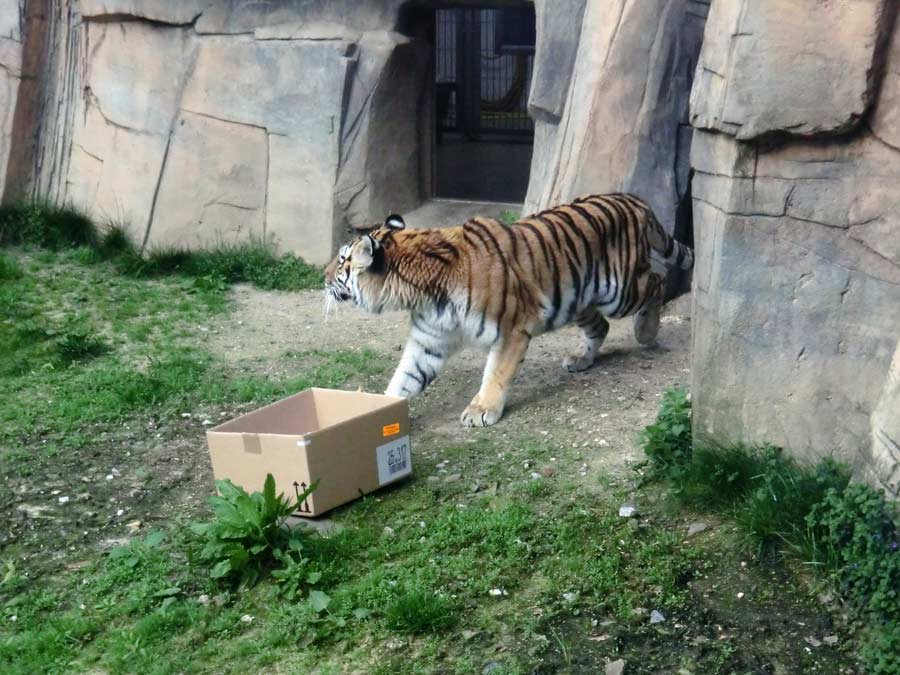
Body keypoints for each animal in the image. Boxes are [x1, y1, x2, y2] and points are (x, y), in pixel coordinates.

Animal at [326, 194, 696, 428]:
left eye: (343, 261)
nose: (324, 276)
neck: (423, 294)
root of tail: (632, 199)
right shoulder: (429, 341)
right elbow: (404, 379)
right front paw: (377, 412)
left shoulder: (511, 329)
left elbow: (496, 374)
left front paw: (481, 411)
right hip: (577, 296)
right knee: (600, 326)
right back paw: (580, 359)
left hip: (618, 290)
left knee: (657, 282)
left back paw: (646, 331)